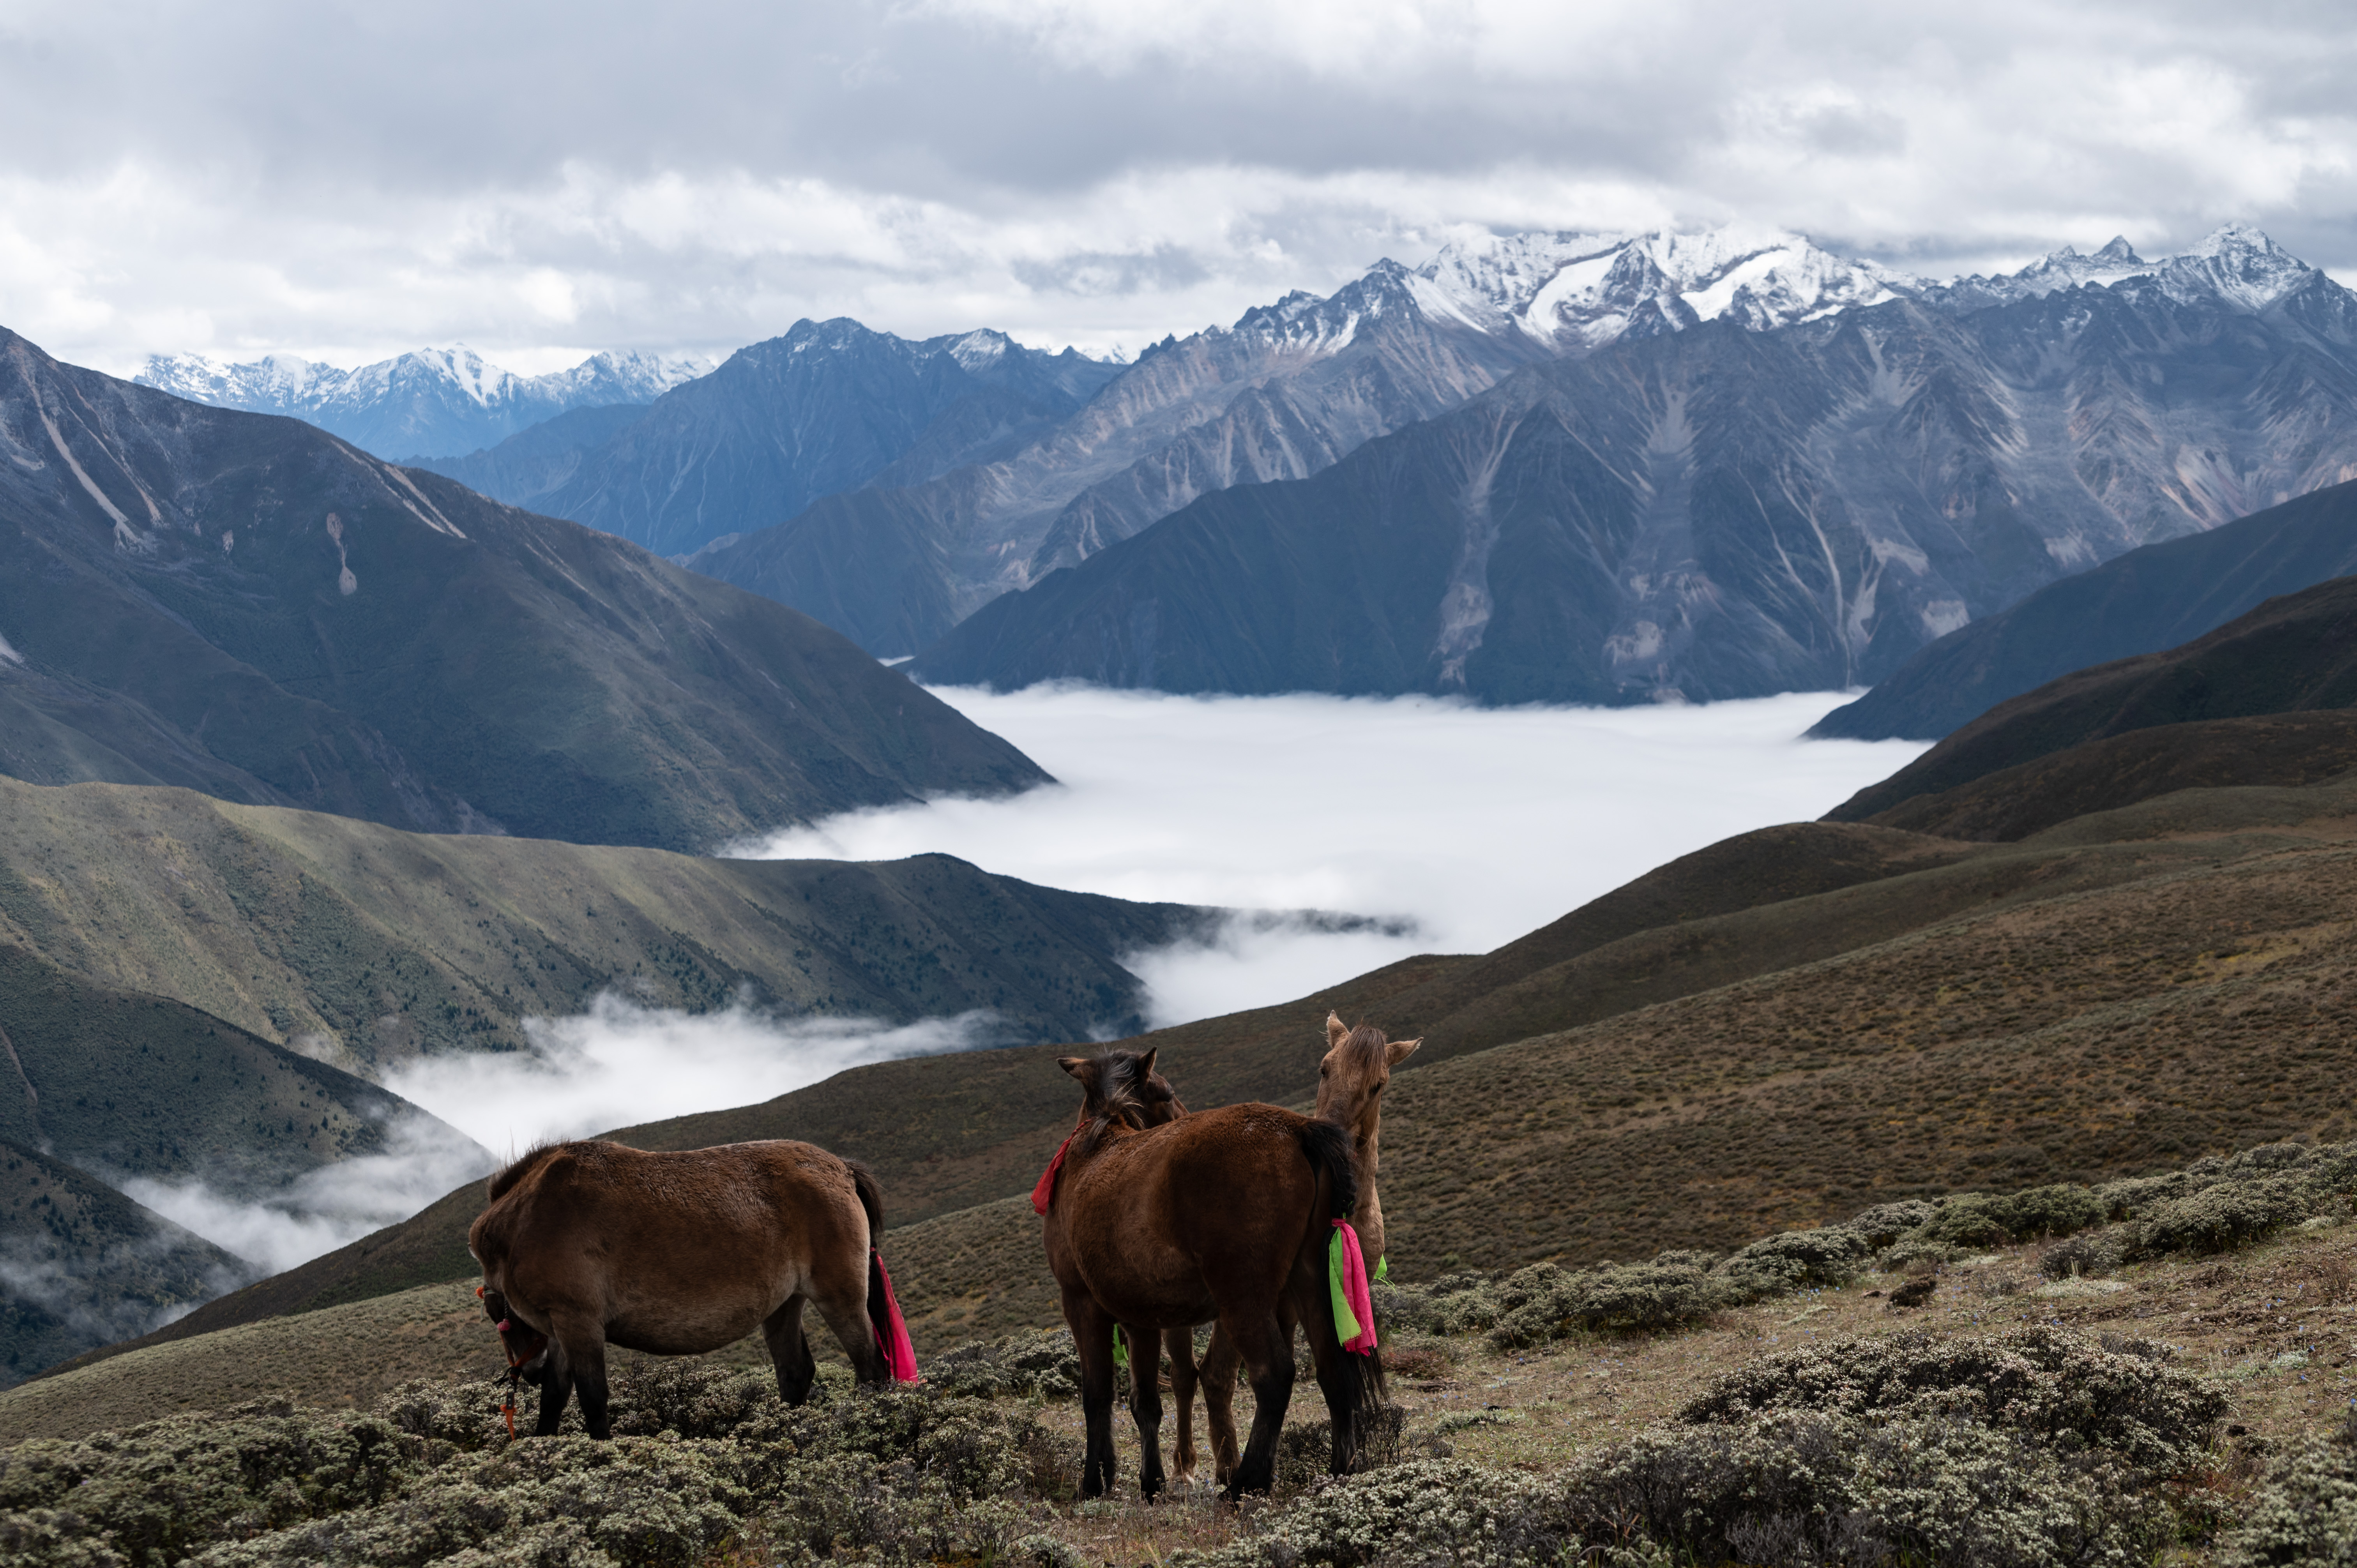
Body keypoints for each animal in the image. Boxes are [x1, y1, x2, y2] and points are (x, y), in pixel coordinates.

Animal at [464, 1136, 905, 1434]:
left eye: (500, 1319)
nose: (529, 1371)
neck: (528, 1216)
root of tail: (841, 1169)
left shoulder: (577, 1322)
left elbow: (592, 1397)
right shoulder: (559, 1329)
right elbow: (554, 1399)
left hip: (839, 1298)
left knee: (873, 1366)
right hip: (784, 1304)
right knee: (795, 1373)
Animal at [1046, 1047, 1376, 1499]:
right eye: (1167, 1093)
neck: (1094, 1150)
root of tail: (1298, 1130)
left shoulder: (1081, 1304)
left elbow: (1096, 1396)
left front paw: (1095, 1482)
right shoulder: (1140, 1320)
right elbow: (1145, 1402)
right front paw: (1151, 1483)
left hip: (1244, 1298)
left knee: (1274, 1375)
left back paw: (1246, 1482)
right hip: (1309, 1284)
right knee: (1334, 1371)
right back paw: (1341, 1471)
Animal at [1178, 1014, 1414, 1481]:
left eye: (1378, 1085)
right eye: (1324, 1068)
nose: (1332, 1132)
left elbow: (1332, 1372)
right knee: (1211, 1376)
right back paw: (1217, 1469)